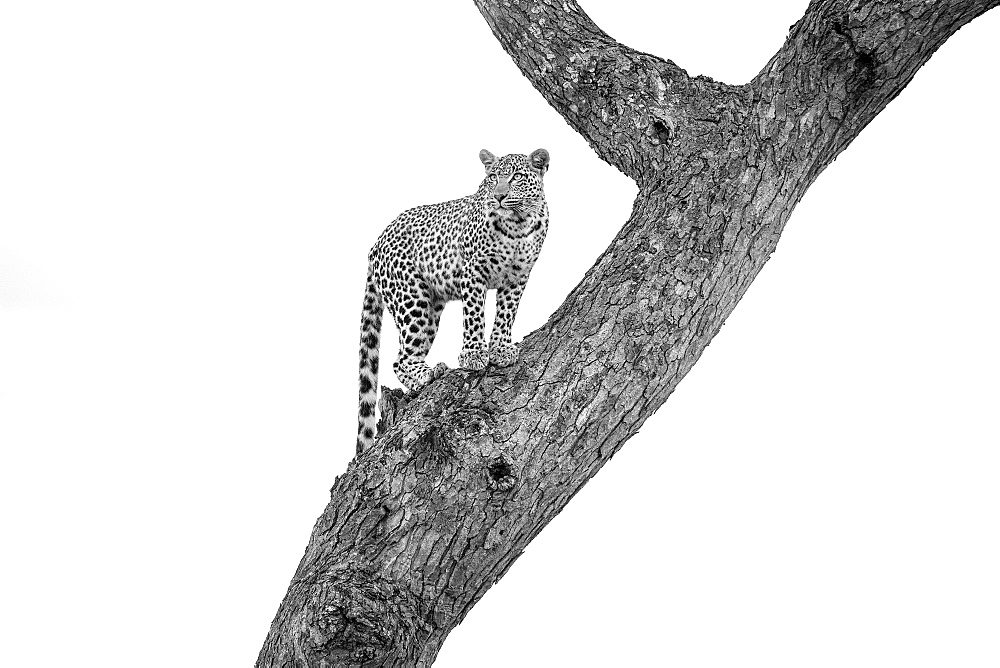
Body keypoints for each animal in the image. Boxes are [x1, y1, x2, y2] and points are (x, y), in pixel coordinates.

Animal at [356, 148, 552, 452]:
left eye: (517, 177)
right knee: (400, 359)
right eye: (493, 177)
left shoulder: (518, 277)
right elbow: (474, 316)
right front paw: (473, 354)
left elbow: (506, 314)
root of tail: (376, 243)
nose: (499, 196)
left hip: (430, 307)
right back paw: (427, 376)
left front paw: (500, 348)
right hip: (412, 300)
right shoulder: (473, 272)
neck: (518, 224)